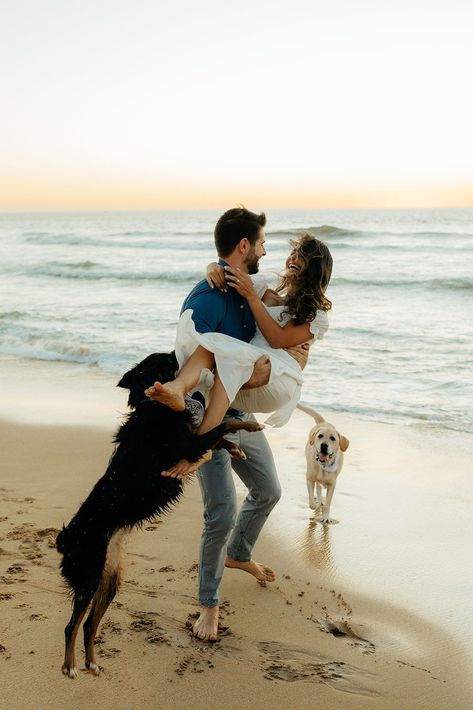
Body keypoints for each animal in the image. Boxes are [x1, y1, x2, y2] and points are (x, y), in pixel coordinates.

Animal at [58, 354, 262, 680]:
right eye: (162, 361)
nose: (175, 353)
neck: (153, 408)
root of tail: (65, 539)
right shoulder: (189, 446)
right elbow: (222, 426)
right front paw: (249, 425)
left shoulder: (191, 445)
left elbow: (218, 436)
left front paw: (237, 446)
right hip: (88, 577)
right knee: (71, 625)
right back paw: (70, 666)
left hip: (110, 581)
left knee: (89, 624)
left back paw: (92, 662)